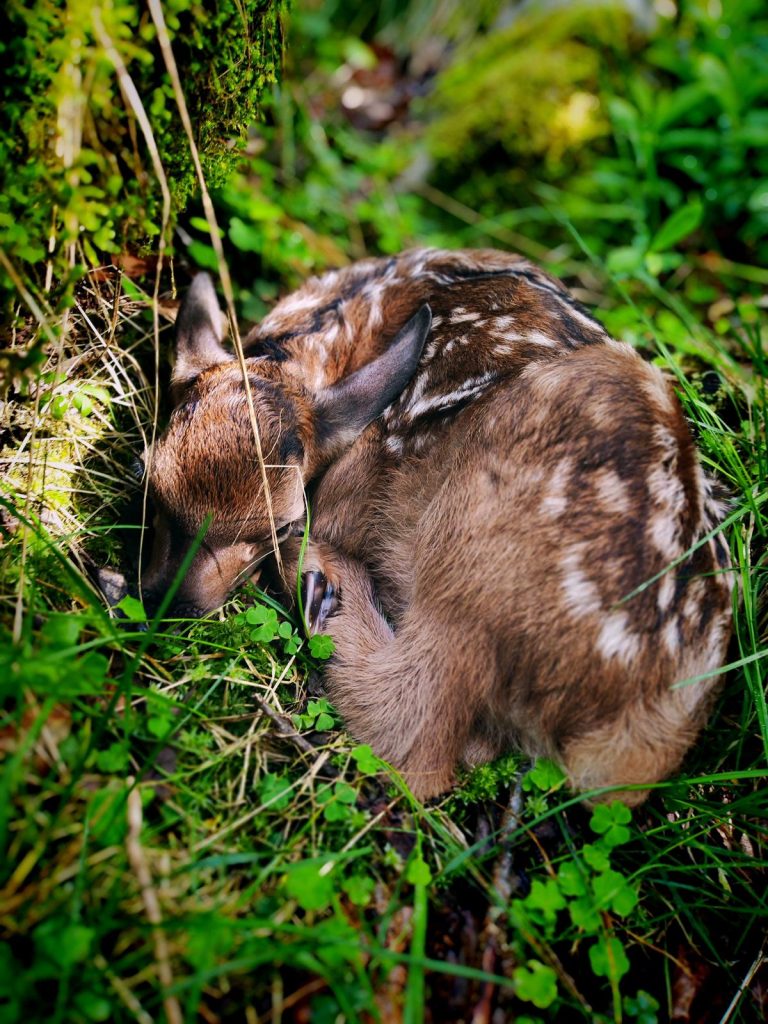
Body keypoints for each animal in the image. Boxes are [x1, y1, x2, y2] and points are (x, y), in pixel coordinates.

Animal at [139, 247, 734, 804]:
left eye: (282, 525)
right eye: (150, 480)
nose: (173, 601)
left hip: (478, 563)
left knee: (417, 738)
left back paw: (319, 590)